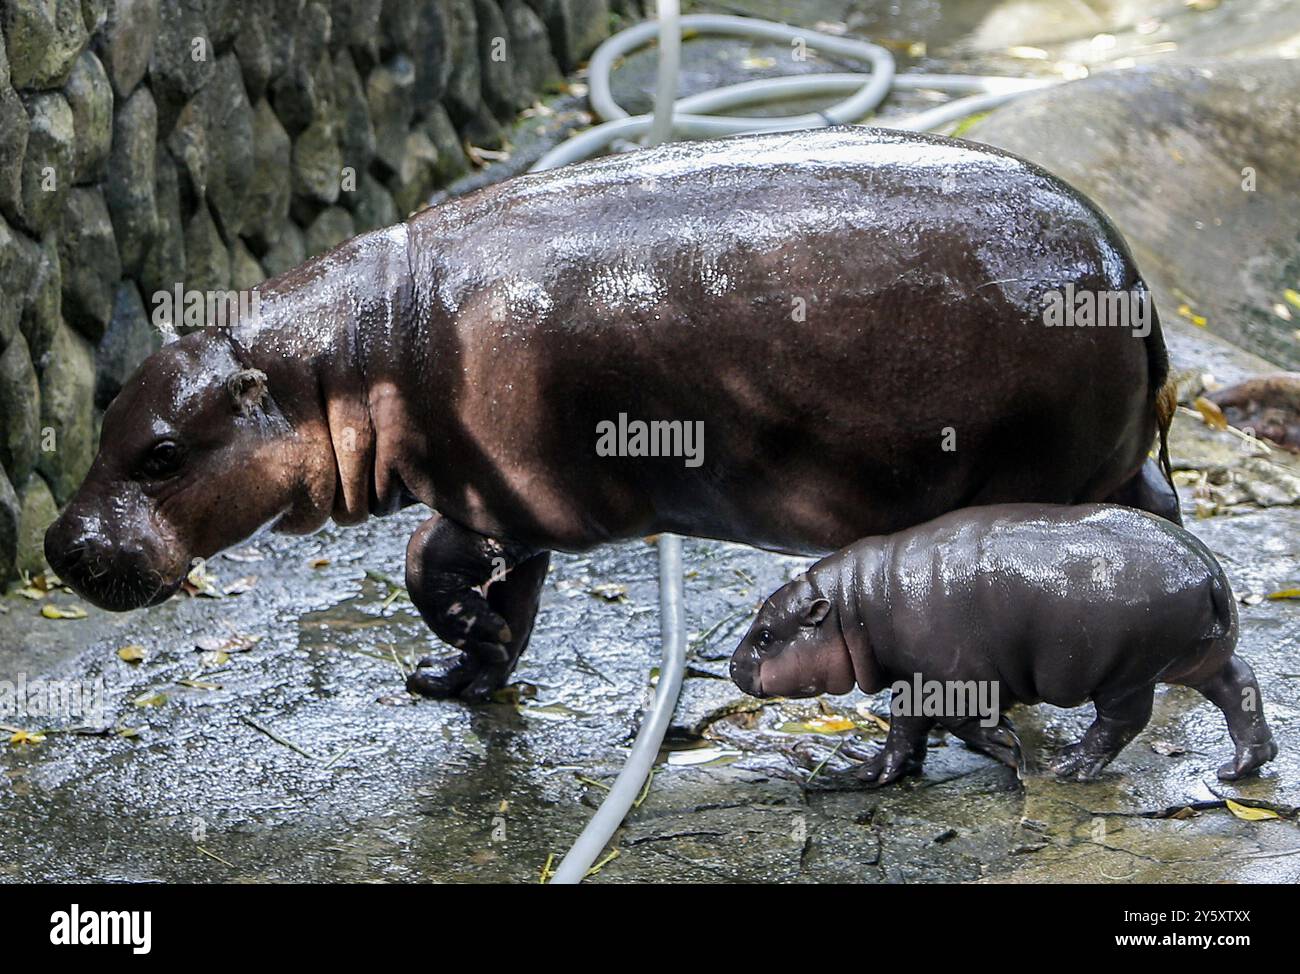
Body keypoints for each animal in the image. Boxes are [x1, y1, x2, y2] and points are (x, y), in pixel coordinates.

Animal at [45, 129, 1180, 702]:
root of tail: (1132, 275)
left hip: (1034, 475)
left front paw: (457, 643)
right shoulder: (497, 501)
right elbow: (491, 593)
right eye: (104, 424)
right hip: (1117, 459)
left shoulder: (502, 495)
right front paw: (457, 674)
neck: (339, 355)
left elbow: (425, 565)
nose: (58, 544)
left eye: (159, 455)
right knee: (1158, 517)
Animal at [733, 504, 1279, 785]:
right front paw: (876, 767)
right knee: (1239, 685)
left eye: (765, 636)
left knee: (1124, 721)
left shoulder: (944, 679)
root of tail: (1208, 570)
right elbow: (906, 729)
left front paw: (1007, 746)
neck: (856, 605)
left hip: (1128, 673)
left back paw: (1070, 766)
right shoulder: (915, 680)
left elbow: (946, 723)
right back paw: (1240, 767)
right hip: (1196, 657)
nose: (735, 667)